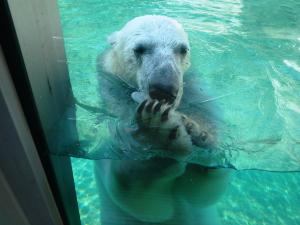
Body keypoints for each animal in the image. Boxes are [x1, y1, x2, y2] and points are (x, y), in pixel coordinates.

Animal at [95, 15, 231, 225]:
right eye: (139, 48)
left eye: (182, 49)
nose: (164, 90)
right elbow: (138, 196)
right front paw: (159, 133)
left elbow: (204, 192)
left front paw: (200, 135)